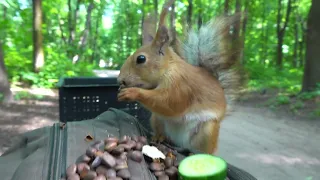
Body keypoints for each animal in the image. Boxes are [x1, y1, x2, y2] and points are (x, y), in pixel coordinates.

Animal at [117, 0, 245, 155]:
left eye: (141, 59)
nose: (120, 80)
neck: (168, 68)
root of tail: (180, 142)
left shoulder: (181, 84)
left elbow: (169, 102)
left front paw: (132, 92)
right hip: (157, 119)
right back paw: (160, 137)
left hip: (207, 131)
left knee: (199, 149)